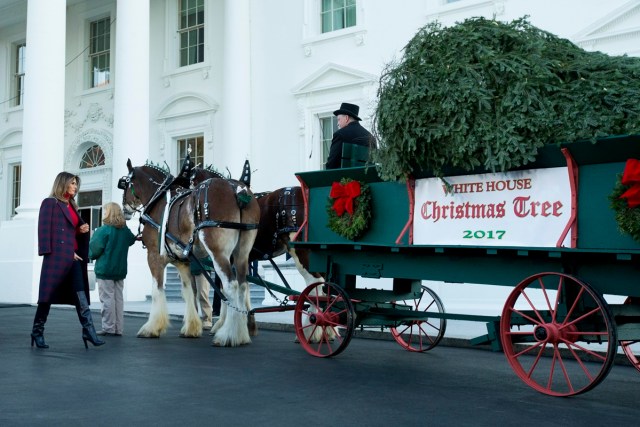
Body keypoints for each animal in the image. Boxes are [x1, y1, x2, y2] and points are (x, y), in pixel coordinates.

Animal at [119, 160, 262, 348]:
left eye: (124, 184)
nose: (124, 210)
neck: (159, 200)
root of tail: (236, 190)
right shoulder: (183, 261)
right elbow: (189, 291)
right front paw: (191, 328)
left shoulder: (154, 256)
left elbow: (157, 289)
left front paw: (152, 327)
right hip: (241, 253)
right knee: (243, 285)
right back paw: (241, 333)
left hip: (218, 252)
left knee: (231, 285)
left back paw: (228, 335)